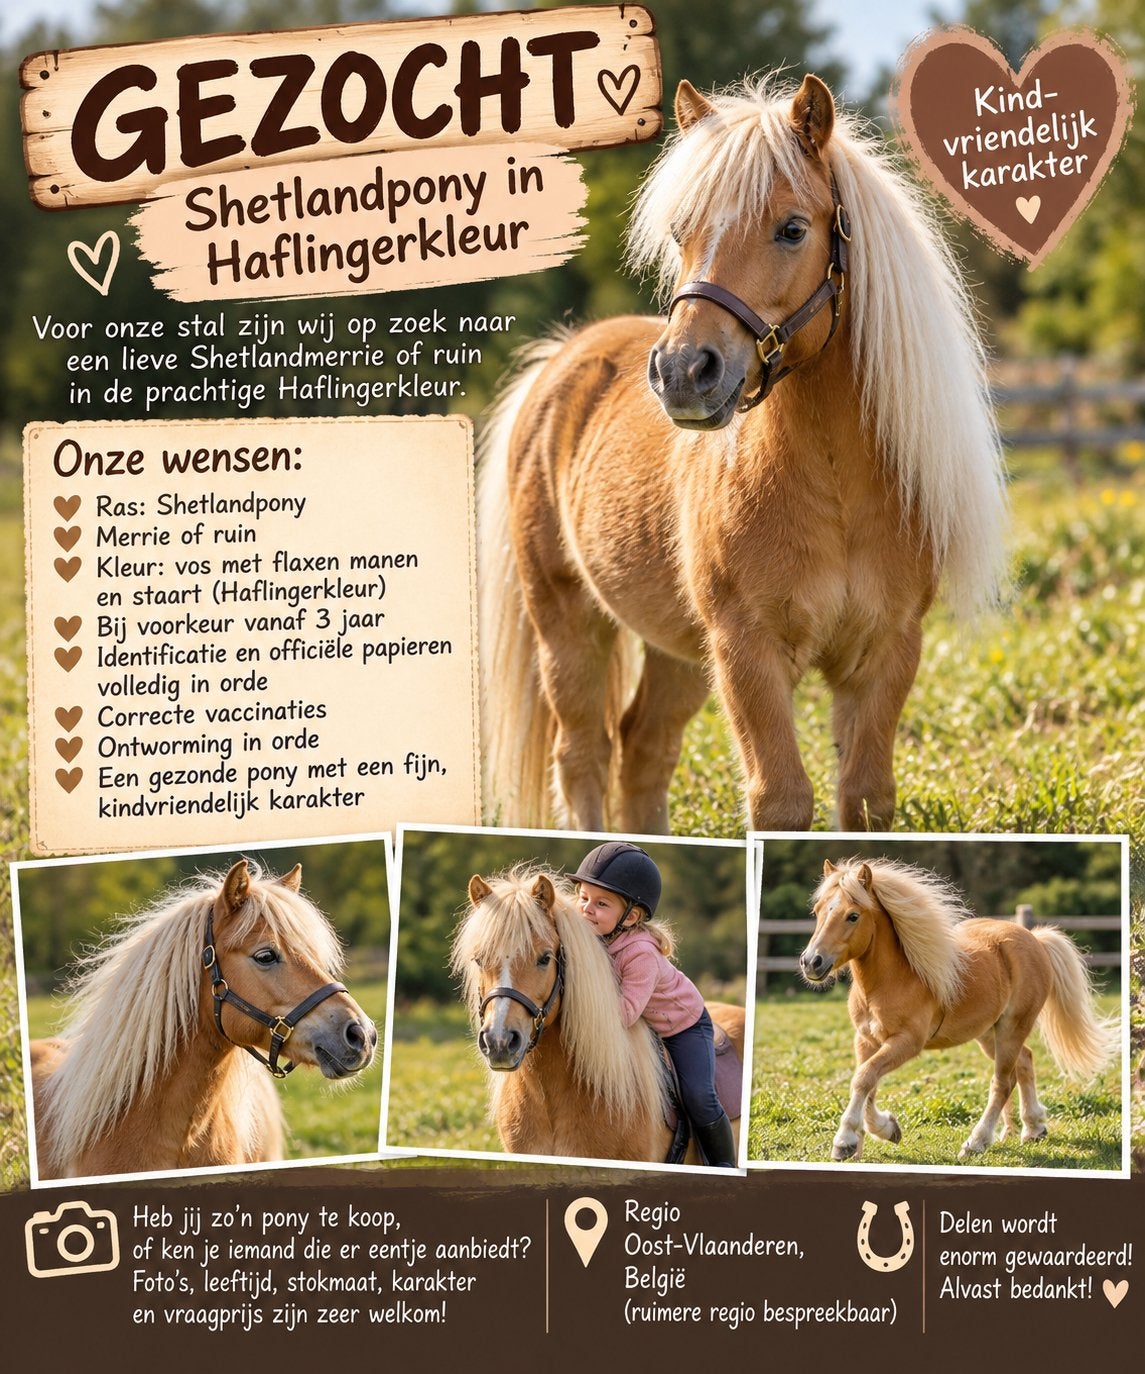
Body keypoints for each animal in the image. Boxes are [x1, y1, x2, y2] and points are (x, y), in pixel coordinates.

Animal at [478, 73, 1007, 834]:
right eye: (681, 231)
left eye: (792, 229)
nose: (681, 372)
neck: (836, 491)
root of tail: (562, 361)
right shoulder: (745, 650)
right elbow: (780, 799)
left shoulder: (885, 653)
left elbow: (864, 796)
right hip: (567, 624)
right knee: (582, 755)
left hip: (676, 649)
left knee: (643, 750)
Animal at [798, 858, 1119, 1161]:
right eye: (817, 911)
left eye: (852, 916)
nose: (811, 962)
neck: (891, 980)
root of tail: (1036, 940)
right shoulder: (866, 1040)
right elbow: (868, 1084)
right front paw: (883, 1131)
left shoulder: (906, 1042)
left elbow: (863, 1078)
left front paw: (846, 1141)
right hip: (989, 1033)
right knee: (1025, 1063)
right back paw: (1032, 1129)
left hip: (1013, 1028)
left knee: (1002, 1082)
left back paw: (977, 1143)